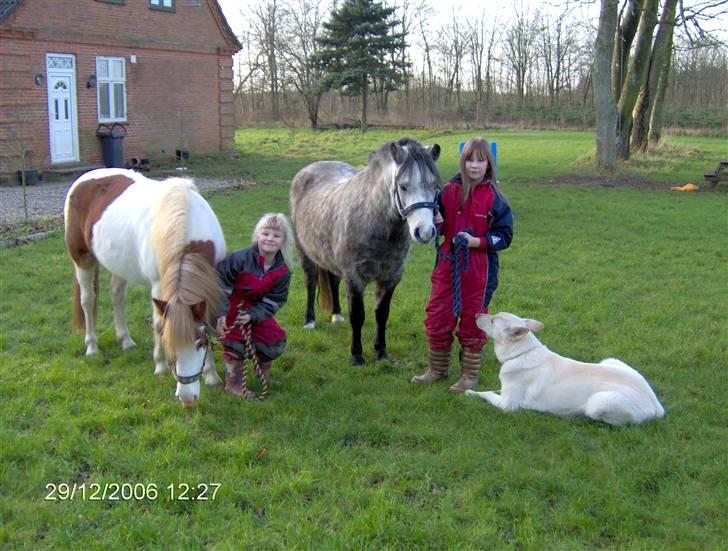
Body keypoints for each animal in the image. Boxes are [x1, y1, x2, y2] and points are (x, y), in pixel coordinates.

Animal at [64, 167, 226, 406]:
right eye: (169, 345)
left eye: (200, 344)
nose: (187, 399)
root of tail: (84, 178)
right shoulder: (158, 286)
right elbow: (158, 325)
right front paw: (160, 366)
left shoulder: (211, 285)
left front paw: (211, 375)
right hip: (82, 260)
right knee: (87, 300)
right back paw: (92, 346)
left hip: (119, 264)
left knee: (117, 295)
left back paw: (125, 340)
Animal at [292, 137, 444, 366]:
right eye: (403, 186)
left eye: (435, 186)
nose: (424, 232)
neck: (372, 220)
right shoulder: (355, 277)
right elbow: (358, 315)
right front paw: (357, 356)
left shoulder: (390, 277)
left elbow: (382, 314)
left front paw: (381, 353)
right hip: (305, 252)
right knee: (310, 282)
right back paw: (309, 321)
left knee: (333, 282)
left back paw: (337, 315)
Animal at [466, 312, 664, 424]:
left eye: (492, 320)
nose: (475, 314)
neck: (522, 352)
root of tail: (656, 406)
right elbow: (494, 390)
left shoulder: (508, 405)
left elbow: (487, 394)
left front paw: (470, 392)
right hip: (611, 360)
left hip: (598, 402)